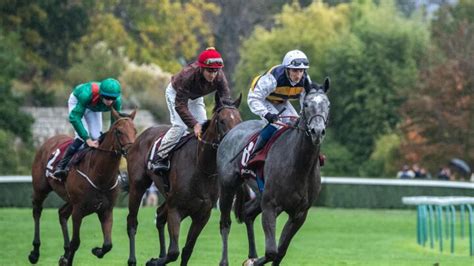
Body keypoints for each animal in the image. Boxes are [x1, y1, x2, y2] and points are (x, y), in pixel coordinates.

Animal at [28, 108, 137, 266]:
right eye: (118, 131)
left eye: (135, 130)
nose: (131, 150)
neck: (100, 175)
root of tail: (48, 140)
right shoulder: (78, 210)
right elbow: (76, 242)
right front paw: (67, 259)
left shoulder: (106, 210)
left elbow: (108, 244)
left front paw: (96, 251)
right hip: (41, 189)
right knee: (37, 211)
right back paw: (35, 252)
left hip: (70, 200)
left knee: (62, 213)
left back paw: (64, 250)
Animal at [126, 92, 243, 264]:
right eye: (222, 121)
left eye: (239, 120)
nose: (234, 143)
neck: (201, 168)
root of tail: (141, 135)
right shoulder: (176, 209)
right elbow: (174, 252)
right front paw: (154, 261)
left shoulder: (202, 215)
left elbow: (187, 250)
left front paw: (158, 258)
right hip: (138, 186)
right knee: (132, 222)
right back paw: (132, 260)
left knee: (159, 216)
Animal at [218, 77, 330, 264]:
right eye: (307, 104)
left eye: (327, 104)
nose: (317, 131)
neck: (299, 166)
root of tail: (232, 131)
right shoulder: (270, 205)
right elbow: (272, 251)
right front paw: (252, 262)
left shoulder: (299, 214)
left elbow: (280, 251)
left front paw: (252, 259)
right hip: (228, 186)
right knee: (225, 224)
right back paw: (225, 261)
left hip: (259, 193)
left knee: (247, 213)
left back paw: (251, 254)